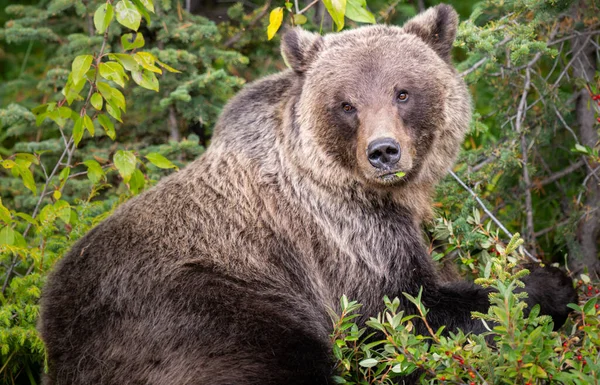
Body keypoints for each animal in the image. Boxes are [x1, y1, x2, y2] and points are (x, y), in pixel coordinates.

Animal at [38, 5, 576, 384]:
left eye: (403, 92)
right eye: (347, 104)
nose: (384, 152)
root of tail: (55, 342)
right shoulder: (341, 233)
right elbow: (405, 311)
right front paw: (550, 284)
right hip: (195, 306)